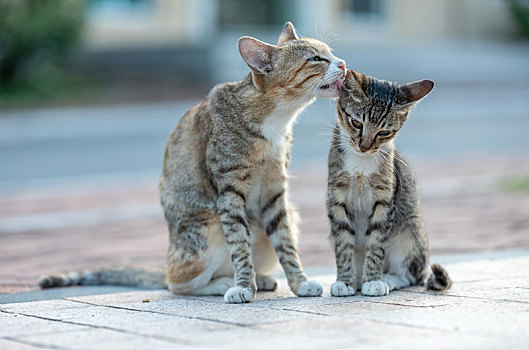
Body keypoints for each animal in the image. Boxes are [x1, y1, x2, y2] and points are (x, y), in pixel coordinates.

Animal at [40, 22, 346, 304]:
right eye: (316, 59)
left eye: (330, 53)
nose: (342, 63)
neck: (276, 121)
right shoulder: (228, 193)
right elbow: (239, 244)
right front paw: (243, 286)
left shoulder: (275, 192)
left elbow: (286, 243)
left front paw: (299, 282)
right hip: (206, 228)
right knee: (176, 282)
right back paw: (224, 282)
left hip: (286, 215)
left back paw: (258, 278)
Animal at [326, 69, 450, 296]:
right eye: (357, 123)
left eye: (384, 132)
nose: (365, 147)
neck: (361, 164)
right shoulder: (337, 196)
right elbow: (343, 244)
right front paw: (344, 281)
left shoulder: (385, 200)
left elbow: (376, 244)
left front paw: (374, 280)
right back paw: (358, 279)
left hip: (409, 231)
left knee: (409, 275)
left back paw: (387, 279)